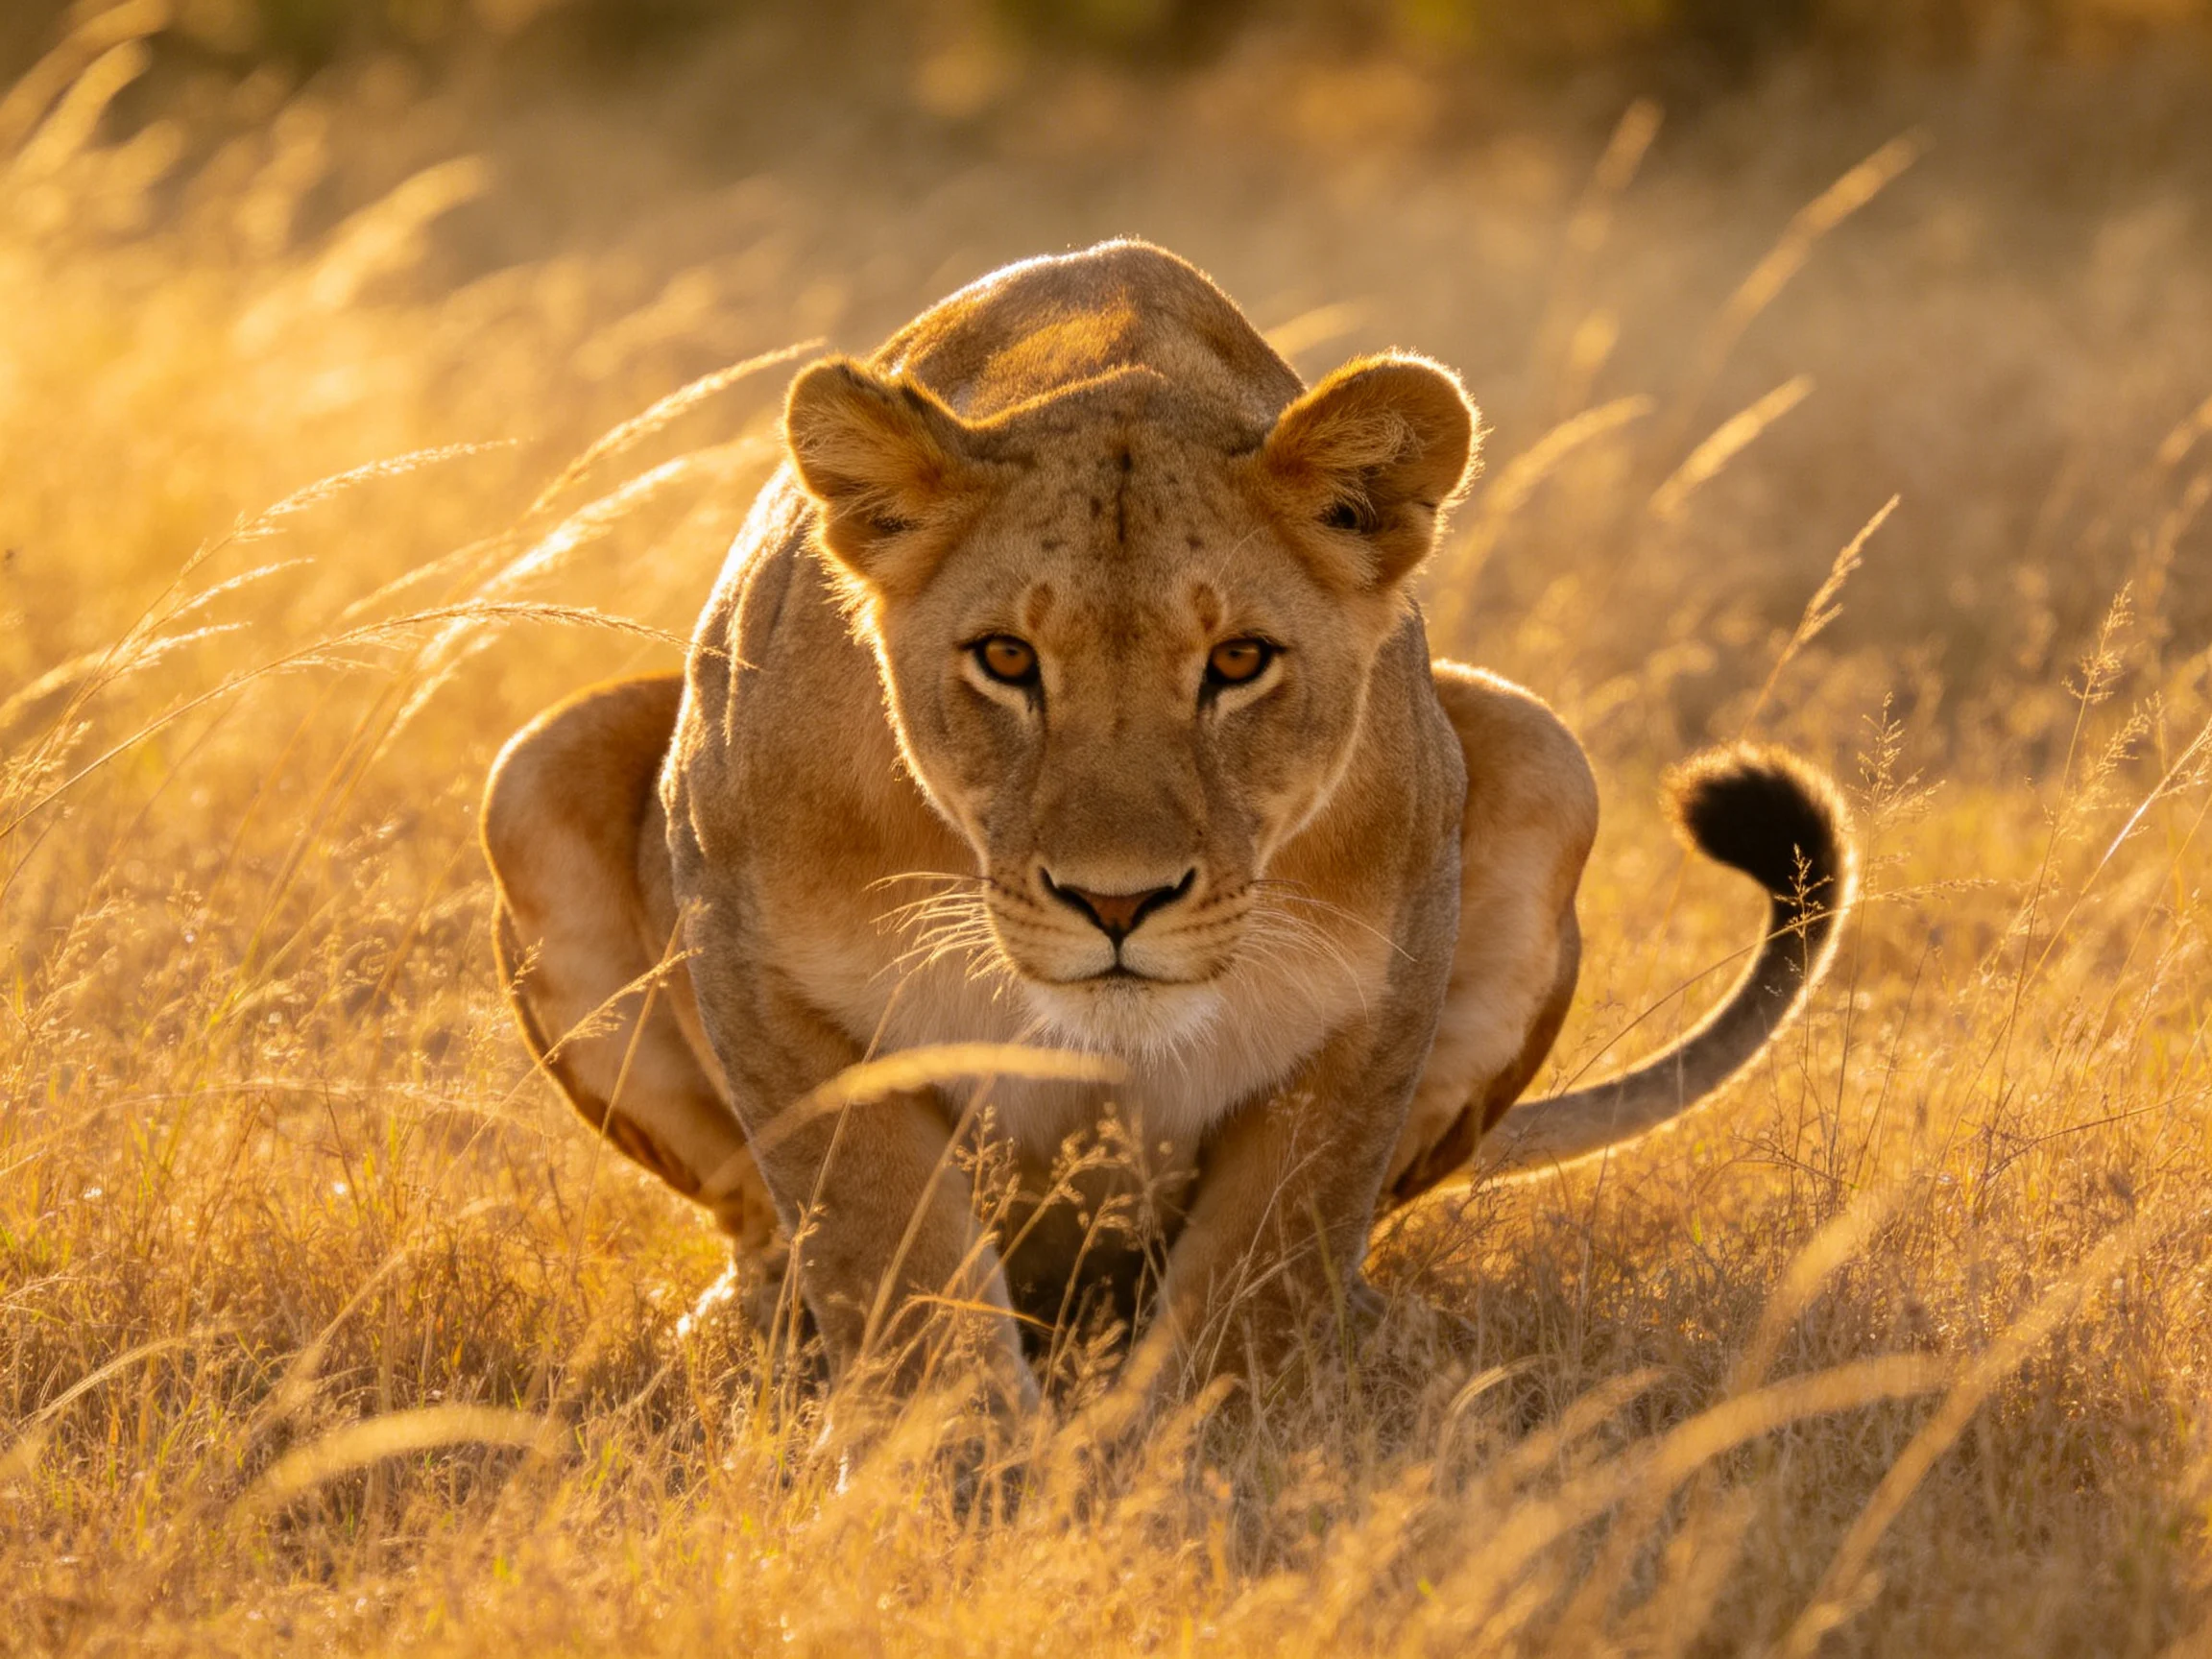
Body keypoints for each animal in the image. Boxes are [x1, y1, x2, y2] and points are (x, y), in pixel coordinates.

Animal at [481, 239, 1853, 1414]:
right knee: (763, 1228)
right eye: (1005, 659)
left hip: (1543, 749)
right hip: (529, 768)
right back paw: (742, 1341)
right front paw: (961, 1478)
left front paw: (1198, 1470)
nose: (1117, 903)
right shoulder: (755, 959)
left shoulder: (1377, 993)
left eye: (1238, 661)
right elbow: (887, 1251)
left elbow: (1267, 1266)